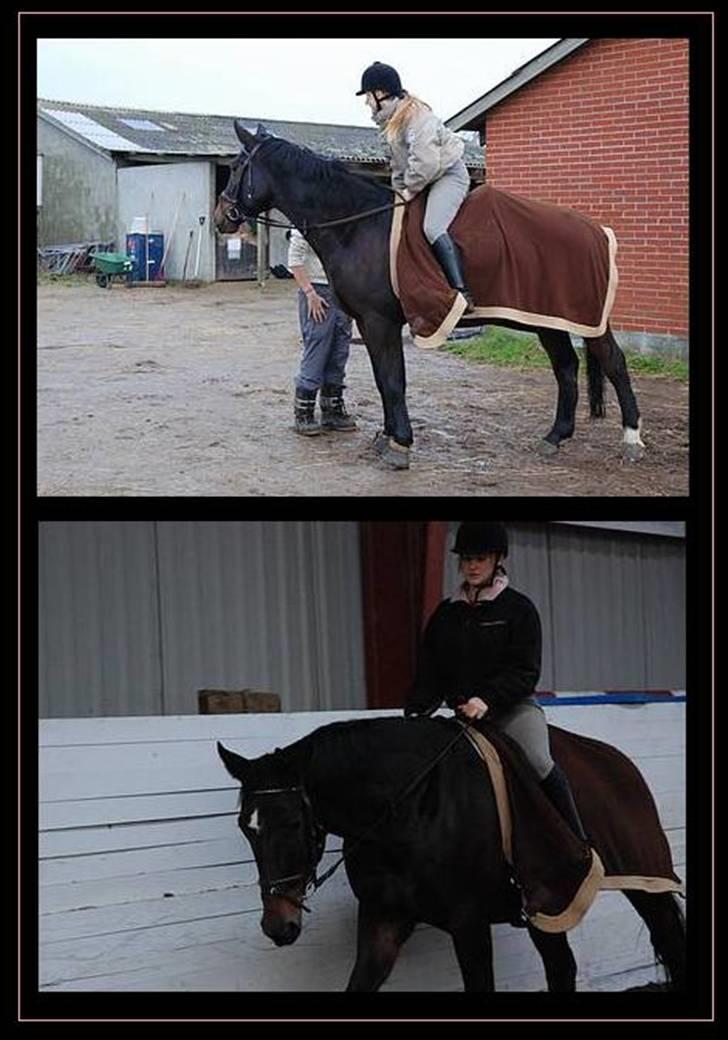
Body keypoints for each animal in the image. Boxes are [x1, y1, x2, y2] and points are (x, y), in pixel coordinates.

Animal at [214, 120, 640, 472]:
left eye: (235, 167)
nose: (221, 217)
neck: (360, 227)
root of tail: (596, 230)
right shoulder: (368, 324)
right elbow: (383, 380)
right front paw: (386, 438)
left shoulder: (380, 322)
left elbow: (393, 381)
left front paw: (400, 445)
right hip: (546, 319)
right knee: (566, 368)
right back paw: (555, 437)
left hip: (581, 319)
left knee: (614, 364)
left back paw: (632, 440)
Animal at [216, 715, 682, 990]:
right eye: (246, 827)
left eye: (293, 824)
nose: (278, 926)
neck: (406, 809)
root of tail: (618, 763)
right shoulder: (383, 919)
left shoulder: (469, 923)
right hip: (548, 908)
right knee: (561, 967)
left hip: (647, 883)